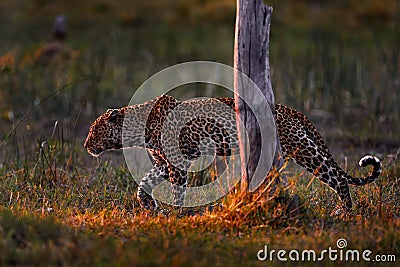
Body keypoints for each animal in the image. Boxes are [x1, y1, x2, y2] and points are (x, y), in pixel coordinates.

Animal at [83, 96, 382, 216]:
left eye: (94, 130)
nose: (86, 145)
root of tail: (294, 111)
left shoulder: (177, 164)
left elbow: (178, 190)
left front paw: (175, 213)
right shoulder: (164, 164)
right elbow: (144, 183)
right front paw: (148, 205)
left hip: (303, 149)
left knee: (337, 178)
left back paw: (345, 211)